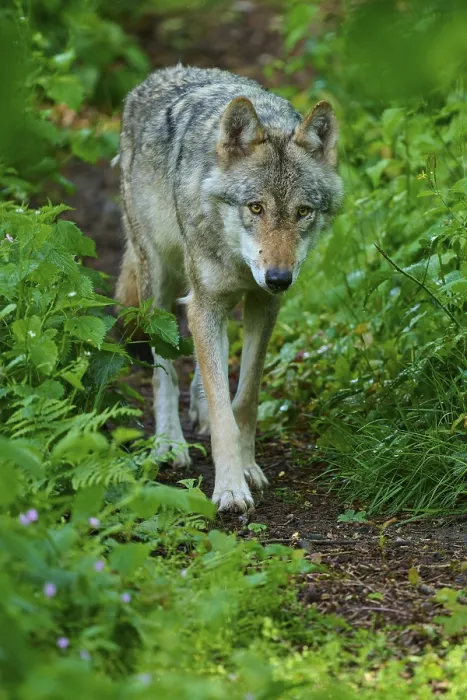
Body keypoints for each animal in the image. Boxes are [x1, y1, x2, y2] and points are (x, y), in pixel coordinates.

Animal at [115, 65, 343, 512]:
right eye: (255, 207)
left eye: (302, 212)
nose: (279, 278)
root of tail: (155, 77)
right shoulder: (204, 304)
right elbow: (223, 415)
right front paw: (230, 488)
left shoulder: (262, 306)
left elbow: (244, 399)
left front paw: (248, 467)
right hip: (159, 285)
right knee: (164, 372)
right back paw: (169, 444)